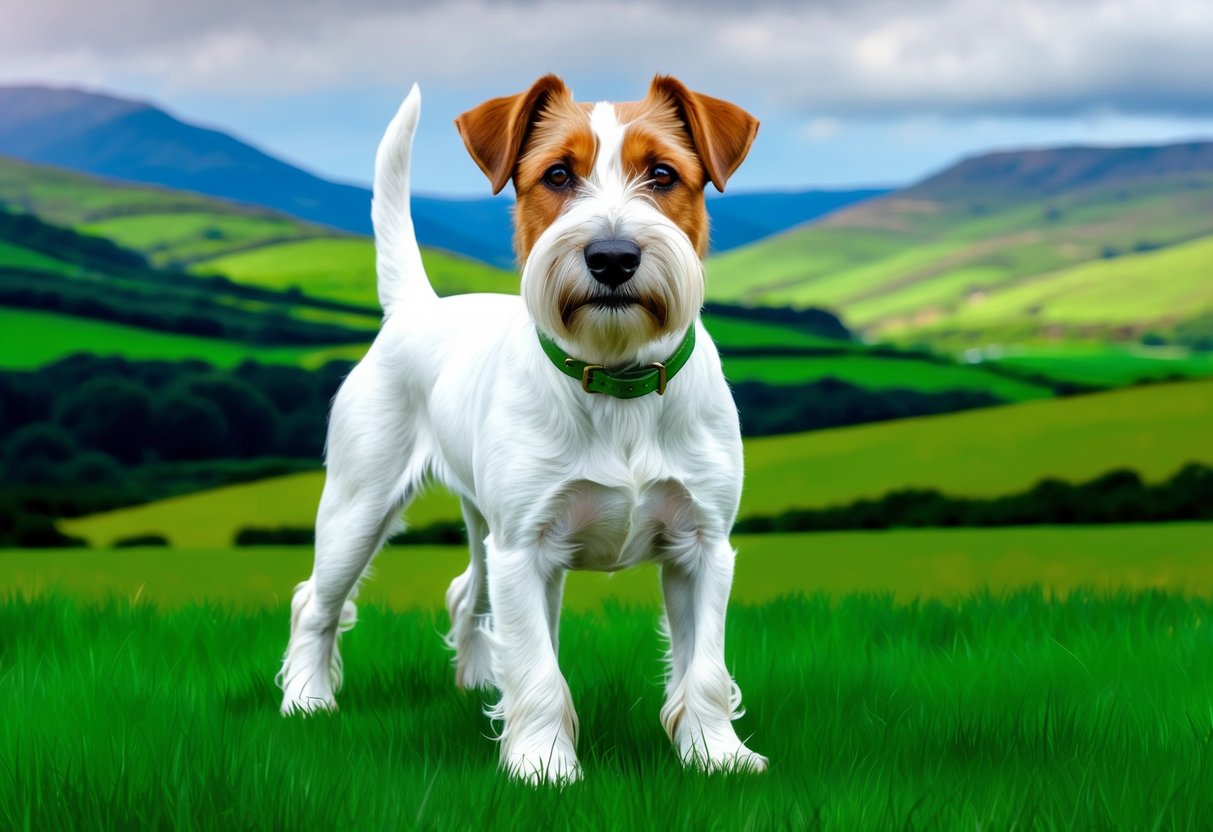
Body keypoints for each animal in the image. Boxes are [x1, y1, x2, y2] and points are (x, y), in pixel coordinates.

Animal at [278, 74, 761, 785]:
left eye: (663, 174)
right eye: (557, 174)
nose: (612, 256)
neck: (615, 378)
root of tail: (414, 309)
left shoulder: (702, 545)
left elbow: (703, 666)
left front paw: (717, 755)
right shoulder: (525, 548)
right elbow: (537, 668)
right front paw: (543, 766)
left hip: (482, 523)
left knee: (465, 595)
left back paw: (481, 686)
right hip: (358, 506)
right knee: (316, 601)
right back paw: (306, 701)